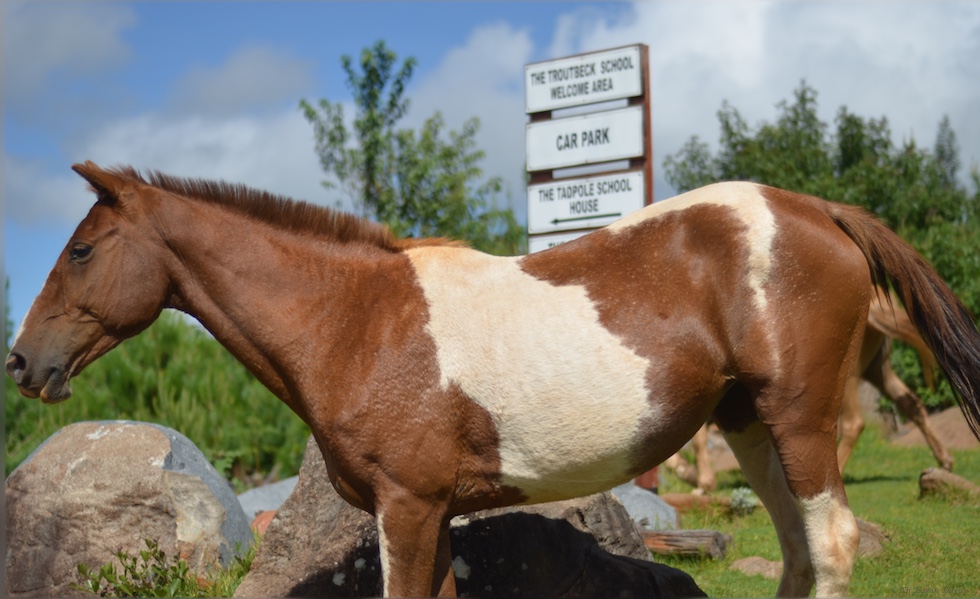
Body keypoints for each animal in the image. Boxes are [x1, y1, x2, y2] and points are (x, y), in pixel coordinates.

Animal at [667, 288, 953, 493]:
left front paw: (700, 480)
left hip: (841, 377)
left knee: (852, 424)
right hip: (877, 370)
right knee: (912, 404)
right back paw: (944, 462)